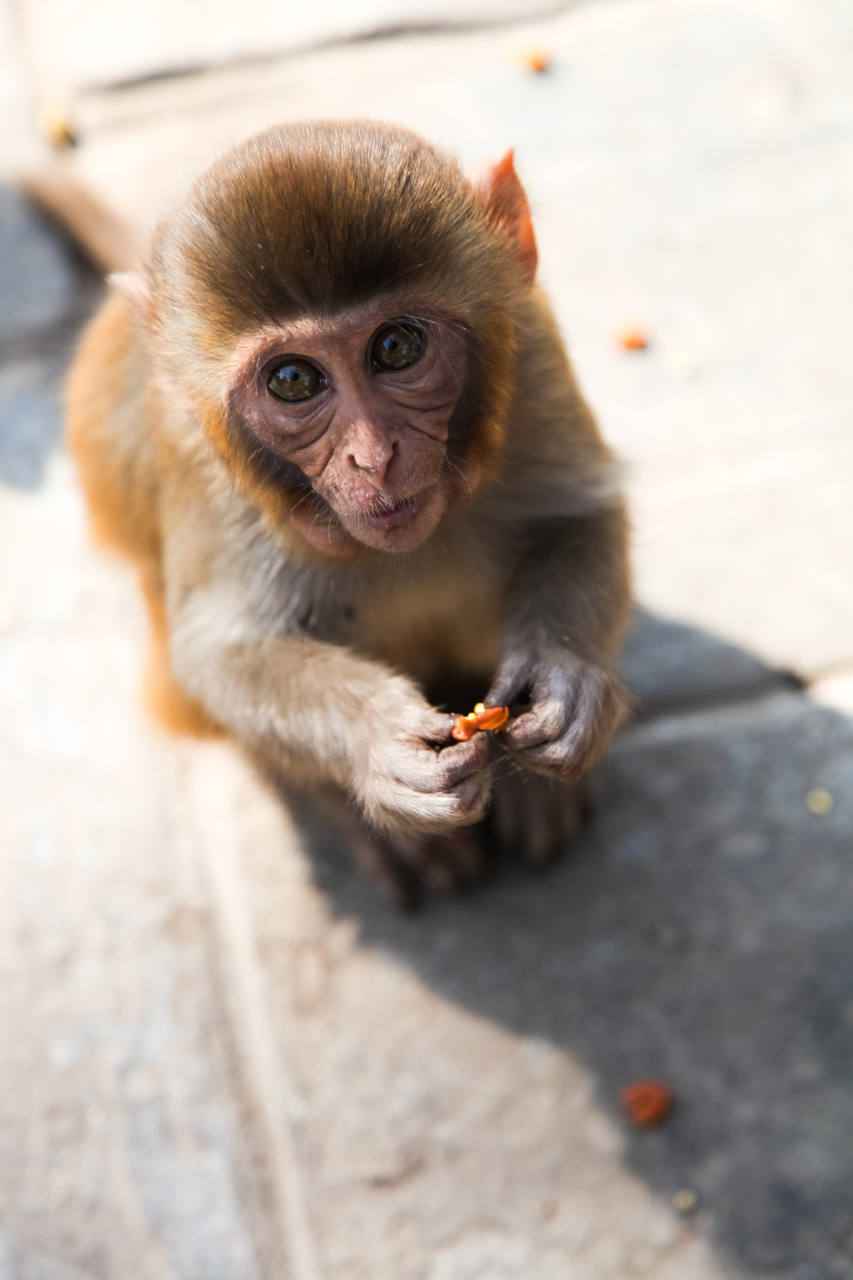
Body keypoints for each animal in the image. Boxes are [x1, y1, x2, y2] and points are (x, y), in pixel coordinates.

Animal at [66, 117, 627, 901]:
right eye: (293, 381)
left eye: (396, 346)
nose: (373, 456)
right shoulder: (198, 461)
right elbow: (220, 655)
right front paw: (376, 743)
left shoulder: (533, 355)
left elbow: (576, 516)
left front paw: (565, 677)